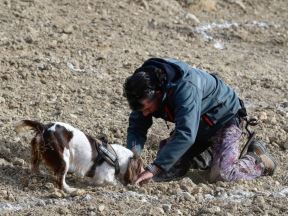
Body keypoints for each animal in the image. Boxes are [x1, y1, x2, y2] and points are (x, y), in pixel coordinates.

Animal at [15, 120, 143, 192]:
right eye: (140, 168)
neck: (116, 157)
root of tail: (44, 127)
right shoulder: (104, 176)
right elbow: (114, 182)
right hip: (64, 159)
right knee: (59, 180)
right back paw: (71, 190)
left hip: (39, 153)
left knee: (35, 166)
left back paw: (40, 173)